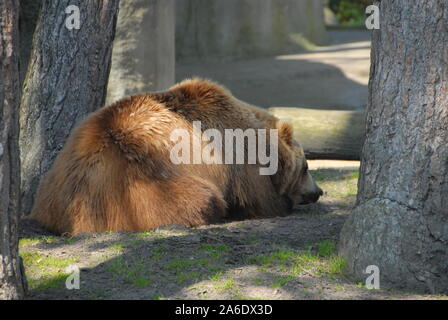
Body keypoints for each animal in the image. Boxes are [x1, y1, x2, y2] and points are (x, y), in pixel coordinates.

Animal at [29, 78, 322, 234]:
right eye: (306, 167)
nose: (318, 192)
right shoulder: (239, 160)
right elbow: (262, 200)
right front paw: (282, 203)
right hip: (144, 184)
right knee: (200, 200)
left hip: (56, 183)